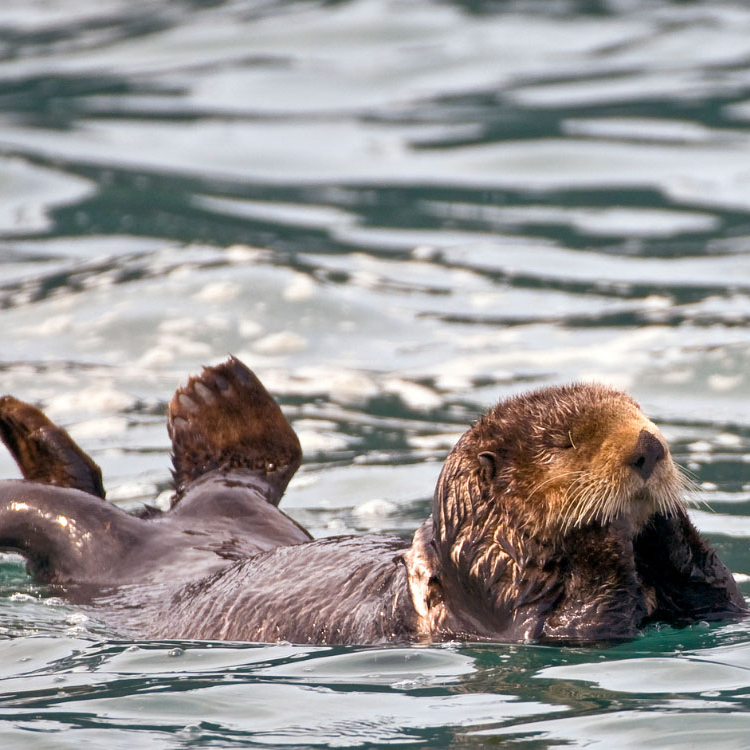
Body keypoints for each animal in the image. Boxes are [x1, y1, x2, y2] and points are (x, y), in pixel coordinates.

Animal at [0, 357, 744, 644]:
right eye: (562, 442)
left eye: (641, 411)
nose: (648, 446)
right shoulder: (510, 612)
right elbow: (590, 617)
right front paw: (600, 525)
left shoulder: (700, 608)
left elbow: (716, 598)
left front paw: (662, 519)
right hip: (100, 547)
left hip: (241, 515)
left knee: (220, 479)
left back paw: (216, 395)